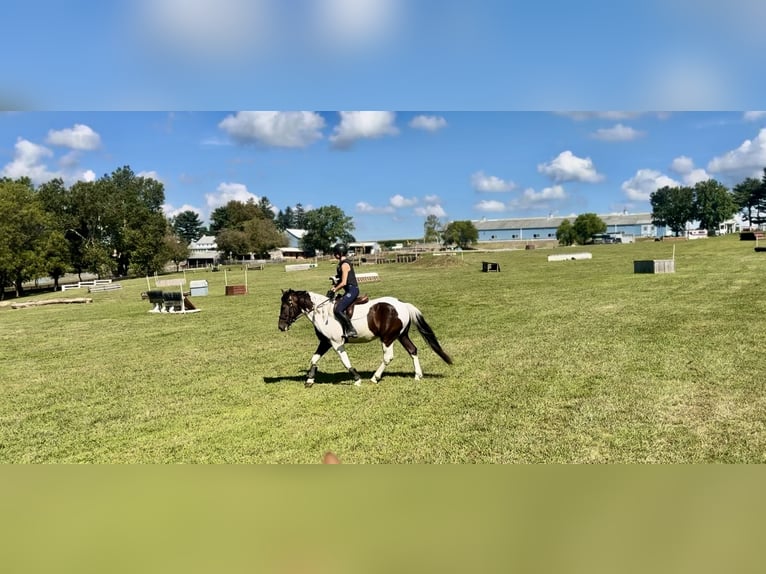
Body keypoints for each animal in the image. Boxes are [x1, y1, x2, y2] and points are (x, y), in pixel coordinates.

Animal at [278, 289, 453, 387]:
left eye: (285, 306)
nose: (281, 326)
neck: (321, 312)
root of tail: (403, 304)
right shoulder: (325, 342)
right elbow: (313, 359)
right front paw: (310, 379)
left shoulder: (336, 343)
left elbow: (345, 361)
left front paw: (357, 379)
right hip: (401, 335)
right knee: (413, 350)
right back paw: (418, 375)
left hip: (387, 338)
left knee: (388, 357)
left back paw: (375, 378)